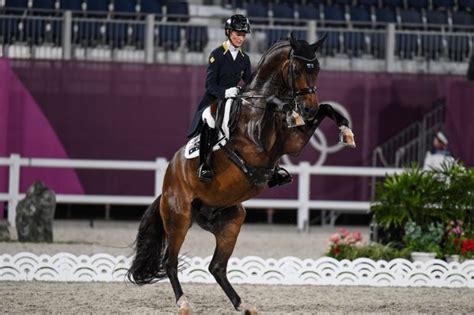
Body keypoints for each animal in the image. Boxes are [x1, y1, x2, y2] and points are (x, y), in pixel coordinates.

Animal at [127, 33, 356, 314]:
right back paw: (184, 303)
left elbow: (327, 109)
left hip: (231, 220)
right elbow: (276, 106)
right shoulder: (257, 149)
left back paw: (243, 304)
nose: (307, 109)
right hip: (179, 218)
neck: (255, 105)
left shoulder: (293, 142)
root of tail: (167, 184)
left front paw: (346, 131)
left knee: (216, 267)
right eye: (298, 68)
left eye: (318, 68)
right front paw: (287, 109)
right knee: (171, 261)